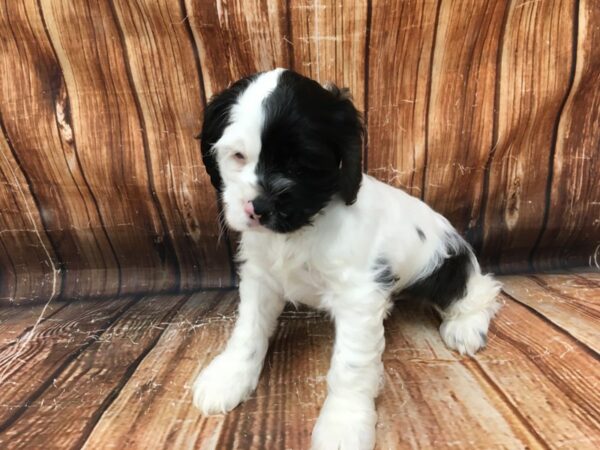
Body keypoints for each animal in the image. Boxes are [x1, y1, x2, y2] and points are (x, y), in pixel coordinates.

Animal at [192, 67, 502, 450]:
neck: (300, 231)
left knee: (480, 288)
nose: (259, 207)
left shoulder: (359, 296)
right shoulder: (260, 278)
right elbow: (248, 331)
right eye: (238, 156)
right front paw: (228, 377)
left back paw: (466, 326)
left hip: (444, 265)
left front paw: (343, 424)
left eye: (302, 164)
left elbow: (350, 366)